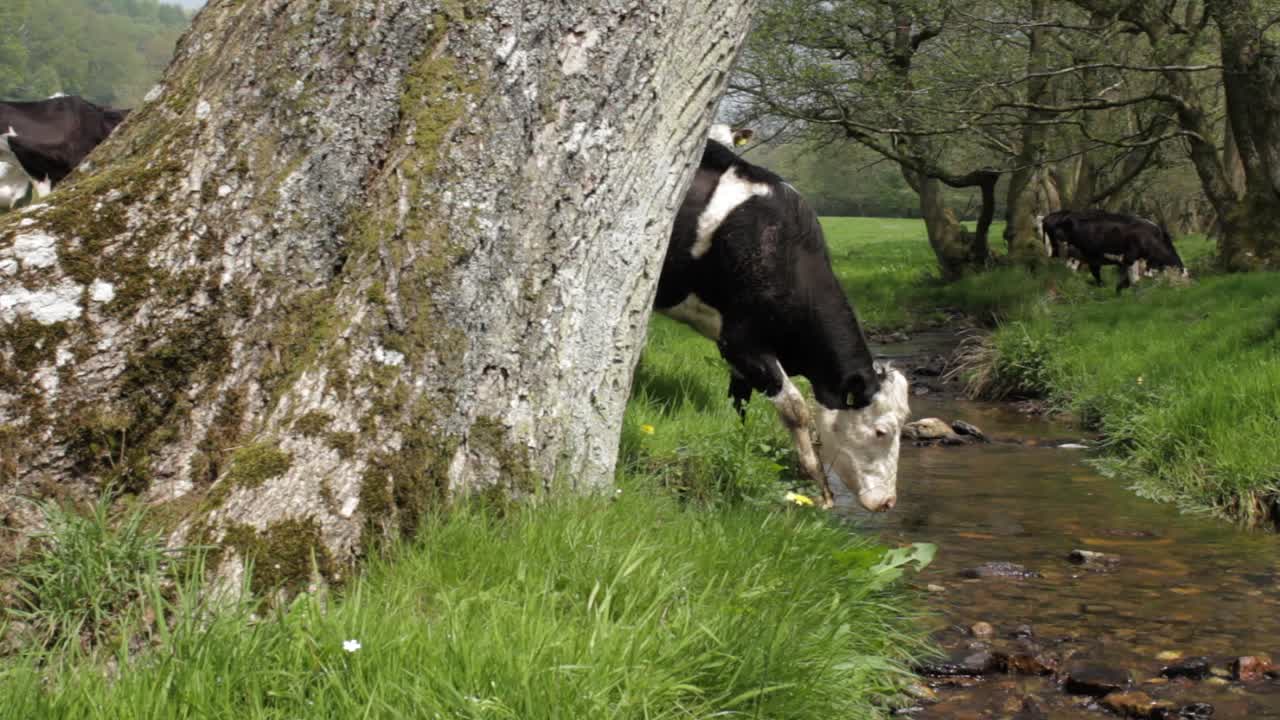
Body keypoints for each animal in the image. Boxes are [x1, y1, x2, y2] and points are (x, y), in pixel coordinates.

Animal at [654, 124, 911, 511]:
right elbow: (795, 408)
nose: (888, 502)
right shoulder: (741, 342)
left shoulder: (740, 353)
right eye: (881, 431)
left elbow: (738, 399)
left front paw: (741, 443)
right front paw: (819, 487)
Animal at [1040, 209, 1187, 292]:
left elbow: (1129, 278)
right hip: (1068, 252)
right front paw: (1123, 291)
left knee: (1091, 272)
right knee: (1067, 270)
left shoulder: (1130, 260)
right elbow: (1133, 279)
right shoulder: (1130, 257)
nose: (1186, 289)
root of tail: (1048, 217)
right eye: (1181, 278)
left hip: (1086, 256)